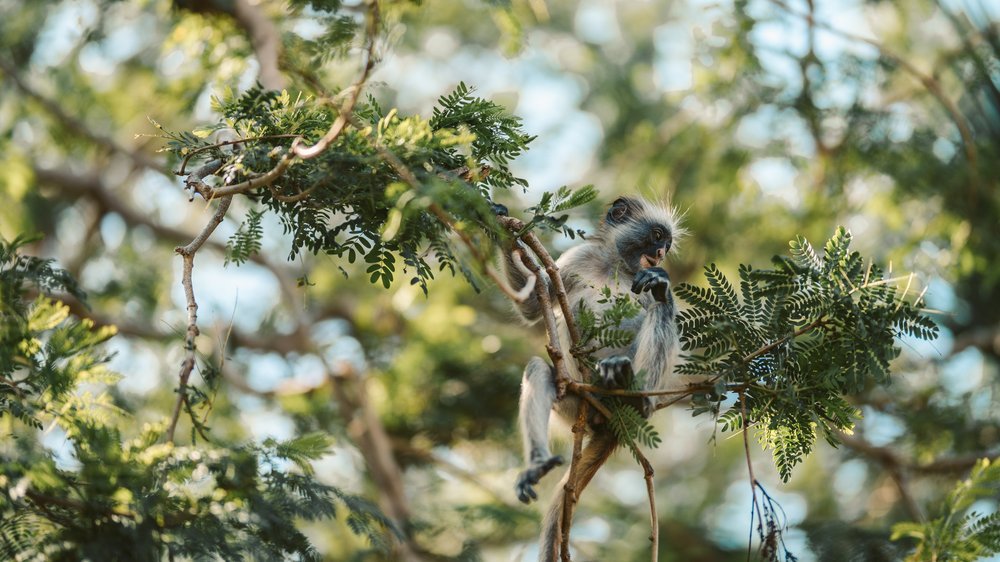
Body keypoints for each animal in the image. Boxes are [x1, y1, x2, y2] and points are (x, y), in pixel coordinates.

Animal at [504, 195, 684, 556]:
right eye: (657, 236)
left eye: (666, 244)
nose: (660, 254)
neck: (616, 264)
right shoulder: (581, 256)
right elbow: (532, 306)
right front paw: (503, 231)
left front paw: (661, 286)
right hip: (573, 401)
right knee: (539, 370)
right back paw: (537, 465)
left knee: (657, 315)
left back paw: (635, 392)